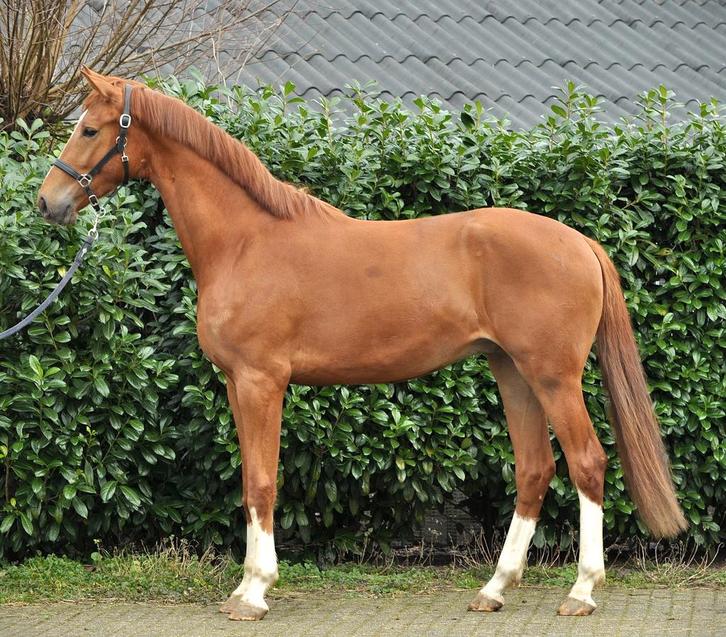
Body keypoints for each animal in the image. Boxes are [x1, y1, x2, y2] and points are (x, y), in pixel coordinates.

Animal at [37, 68, 687, 621]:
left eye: (89, 128)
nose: (48, 202)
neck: (245, 242)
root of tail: (580, 242)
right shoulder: (238, 384)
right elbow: (250, 479)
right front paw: (248, 585)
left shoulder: (261, 382)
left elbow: (261, 481)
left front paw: (254, 592)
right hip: (513, 373)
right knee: (534, 469)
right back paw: (495, 588)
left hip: (552, 376)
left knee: (587, 463)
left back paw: (581, 591)